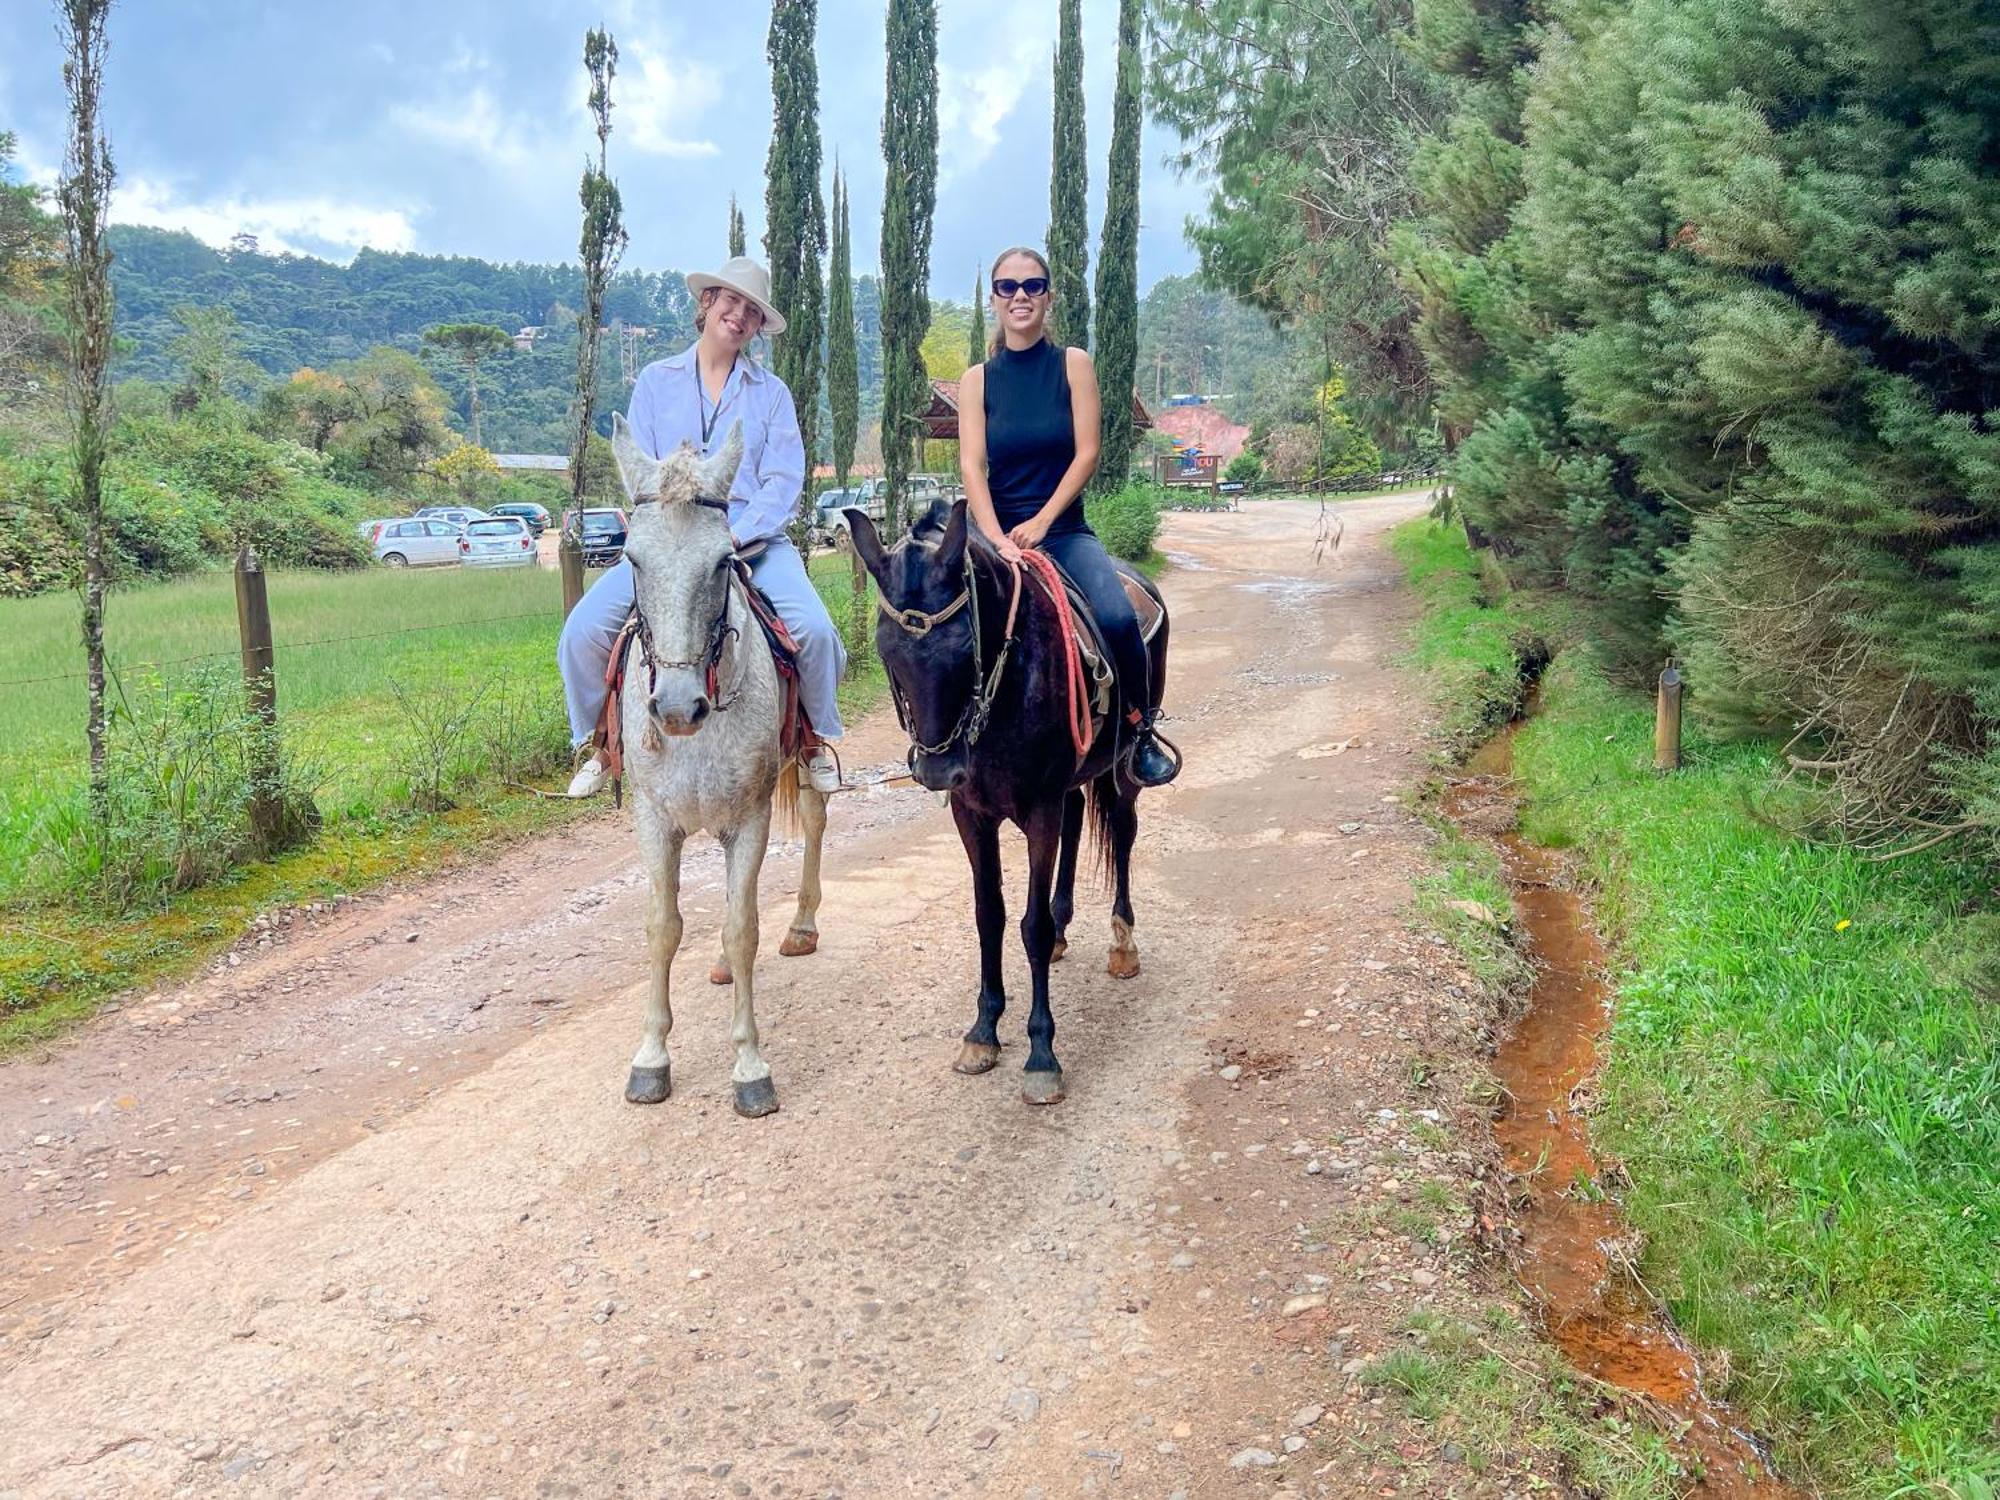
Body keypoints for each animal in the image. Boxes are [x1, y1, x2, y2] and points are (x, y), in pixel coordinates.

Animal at [608, 412, 828, 1120]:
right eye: (631, 558)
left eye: (724, 562)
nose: (678, 708)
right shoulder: (654, 821)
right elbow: (662, 928)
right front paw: (651, 1058)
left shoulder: (748, 821)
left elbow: (741, 927)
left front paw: (749, 1066)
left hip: (802, 761)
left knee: (813, 819)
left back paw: (803, 926)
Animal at [848, 506, 1168, 1104]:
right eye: (886, 650)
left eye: (962, 647)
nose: (937, 770)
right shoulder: (971, 815)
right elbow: (989, 916)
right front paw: (982, 1032)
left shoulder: (1038, 808)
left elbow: (1031, 926)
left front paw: (1042, 1055)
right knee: (1076, 822)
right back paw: (1068, 931)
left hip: (1122, 769)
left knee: (1122, 830)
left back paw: (1122, 944)